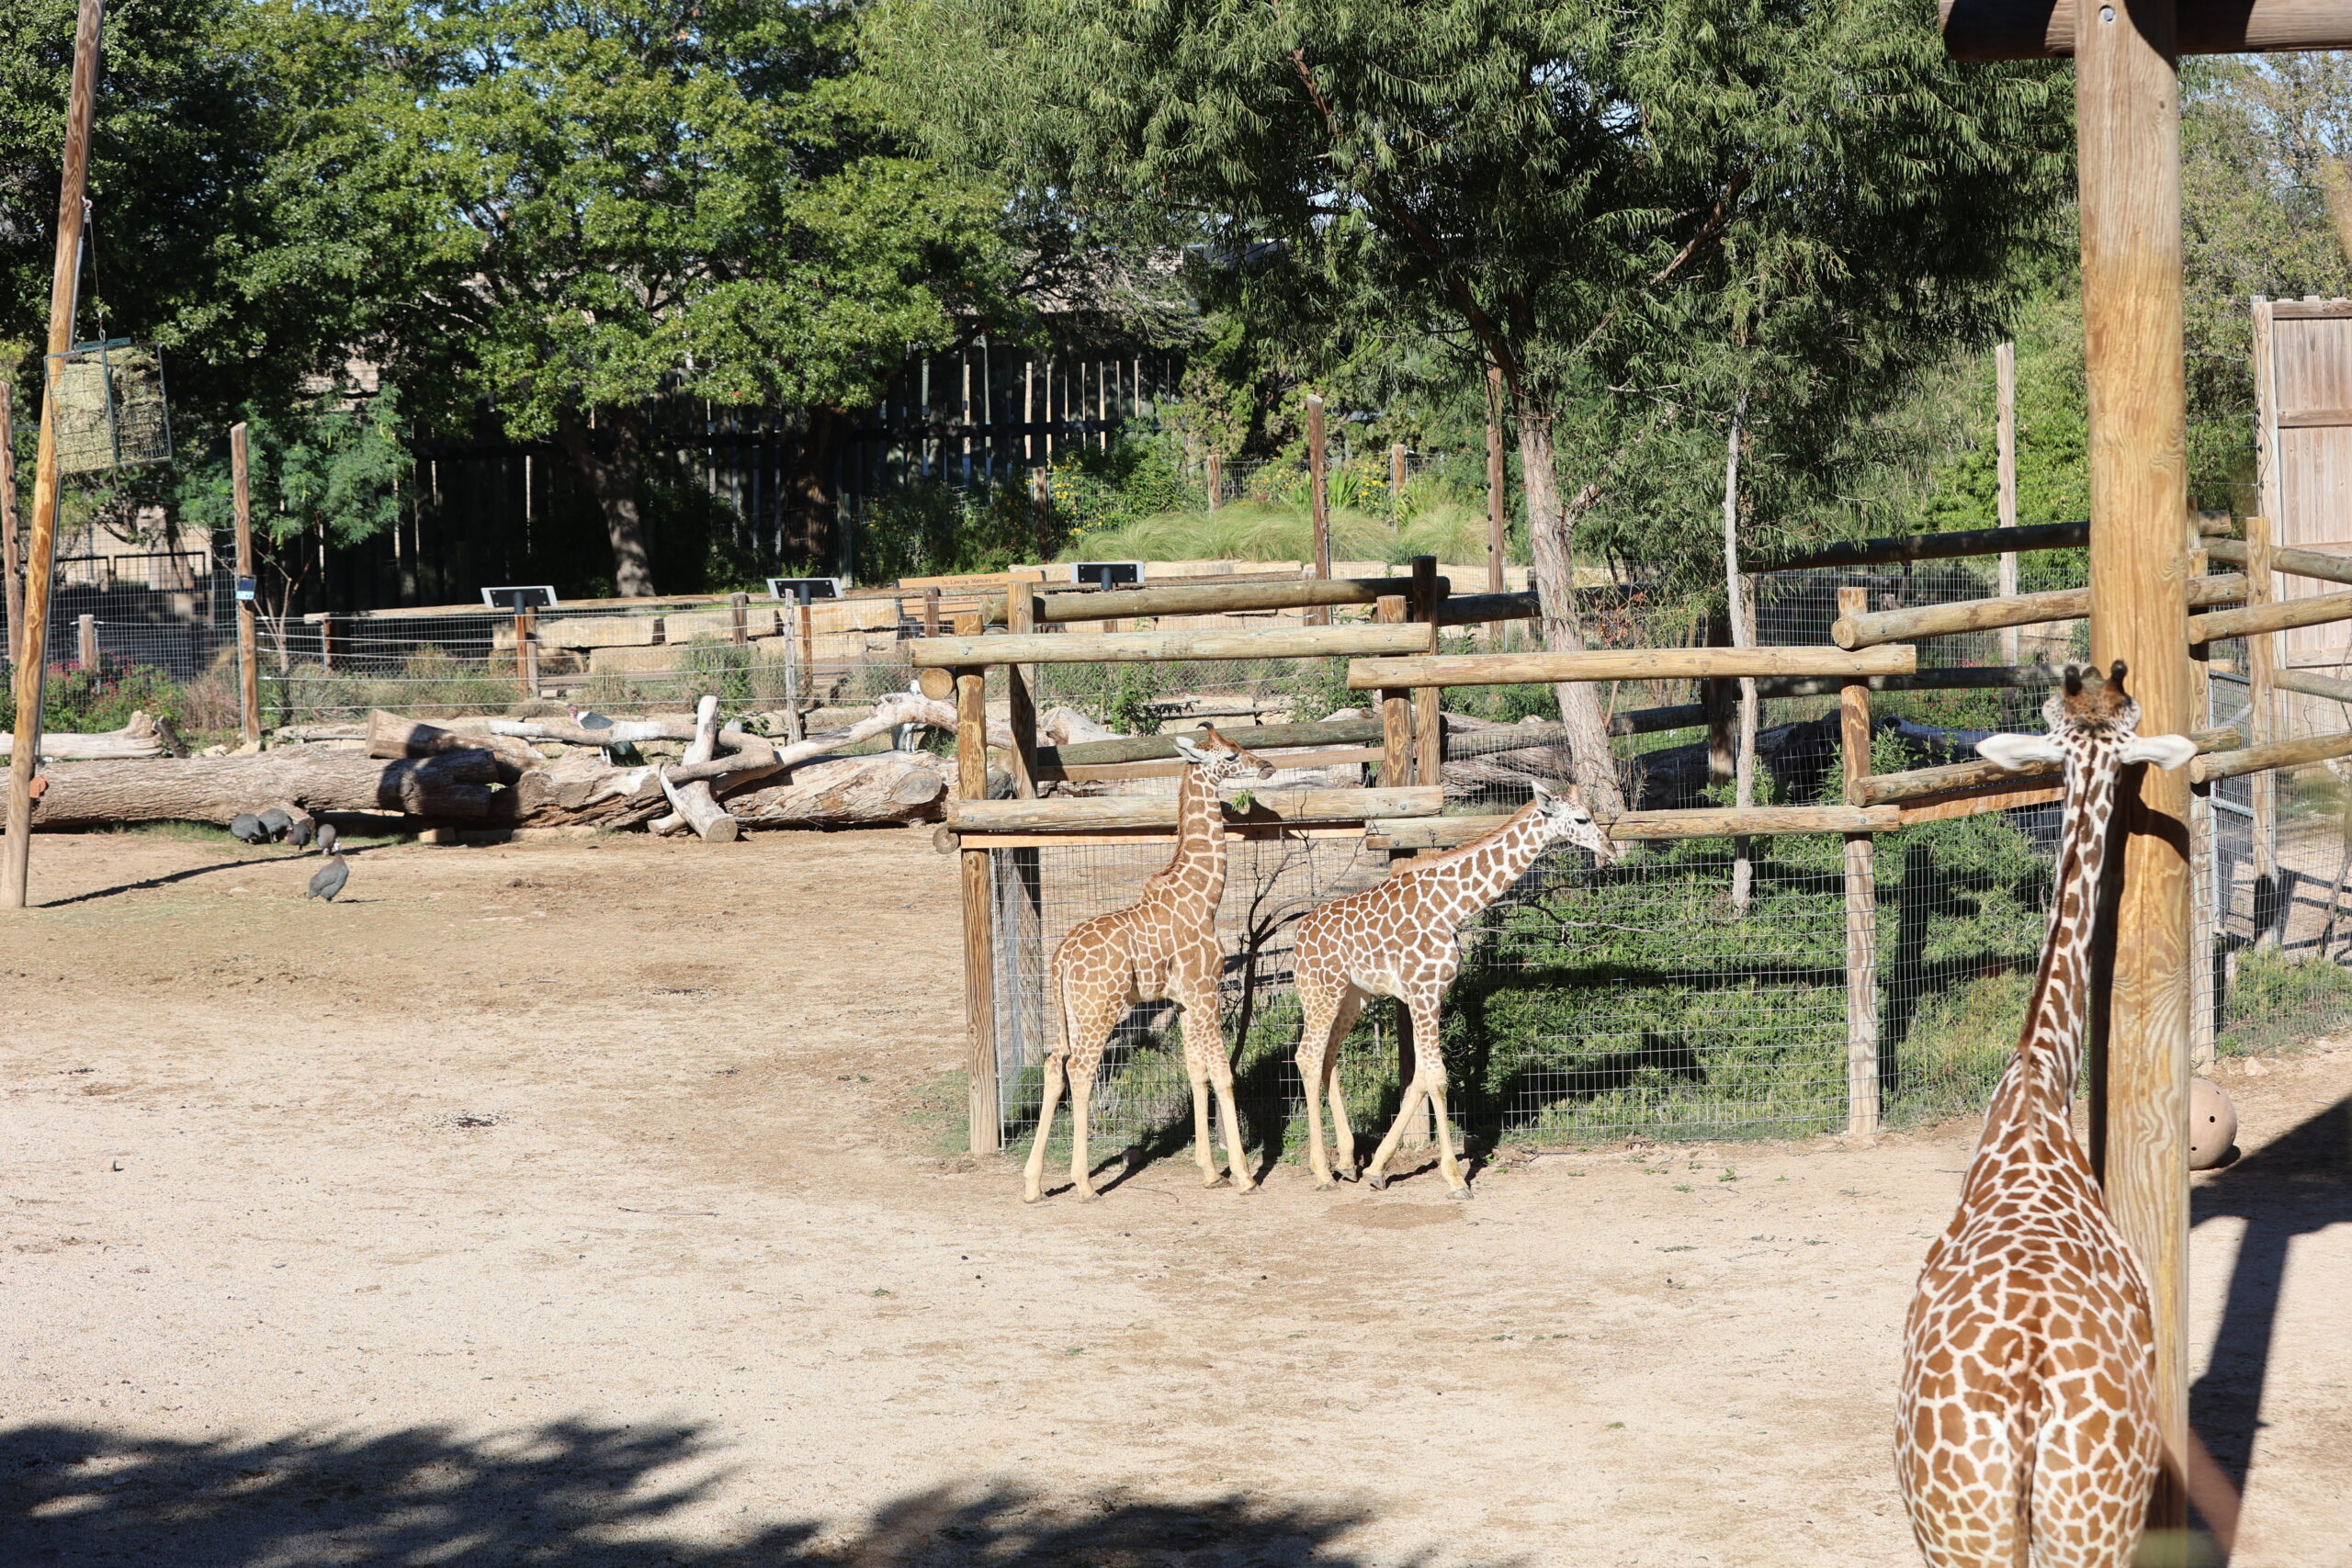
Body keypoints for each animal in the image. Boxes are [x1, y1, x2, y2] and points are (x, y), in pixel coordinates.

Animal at [1025, 724, 1279, 1203]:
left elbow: (1196, 1071)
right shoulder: (1204, 990)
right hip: (1099, 1010)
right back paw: (1084, 1183)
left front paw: (1208, 1171)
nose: (1267, 766)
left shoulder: (1182, 1000)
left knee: (1054, 1065)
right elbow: (1223, 1074)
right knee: (1080, 1070)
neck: (1205, 895)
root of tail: (1061, 959)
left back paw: (1032, 1184)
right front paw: (1243, 1175)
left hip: (1069, 1014)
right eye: (1231, 756)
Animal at [1288, 784, 1618, 1203]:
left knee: (1328, 1057)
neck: (1453, 907)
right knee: (1308, 1057)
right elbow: (1439, 1078)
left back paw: (1347, 1162)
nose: (1611, 850)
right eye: (1581, 819)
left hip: (1352, 995)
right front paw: (1456, 1179)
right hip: (1320, 989)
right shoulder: (1423, 991)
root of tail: (1299, 936)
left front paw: (1378, 1168)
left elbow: (1420, 1078)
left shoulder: (1433, 993)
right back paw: (1321, 1171)